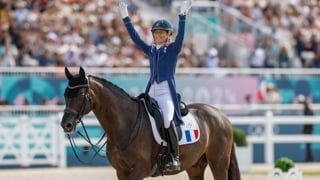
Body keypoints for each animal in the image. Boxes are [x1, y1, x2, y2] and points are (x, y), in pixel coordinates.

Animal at [60, 66, 240, 180]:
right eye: (65, 94)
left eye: (80, 95)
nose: (66, 125)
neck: (125, 124)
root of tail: (221, 116)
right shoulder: (121, 171)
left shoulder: (140, 170)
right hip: (195, 167)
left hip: (218, 164)